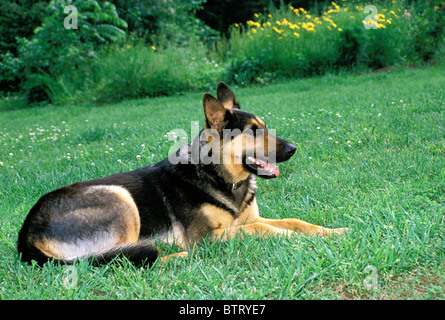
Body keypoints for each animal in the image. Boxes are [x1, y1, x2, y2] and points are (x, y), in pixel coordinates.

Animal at [18, 83, 346, 268]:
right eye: (254, 131)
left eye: (265, 126)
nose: (293, 149)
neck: (219, 176)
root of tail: (26, 237)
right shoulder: (208, 237)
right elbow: (265, 229)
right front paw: (298, 241)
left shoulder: (245, 220)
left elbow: (295, 221)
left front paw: (332, 231)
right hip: (119, 197)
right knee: (117, 261)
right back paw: (174, 257)